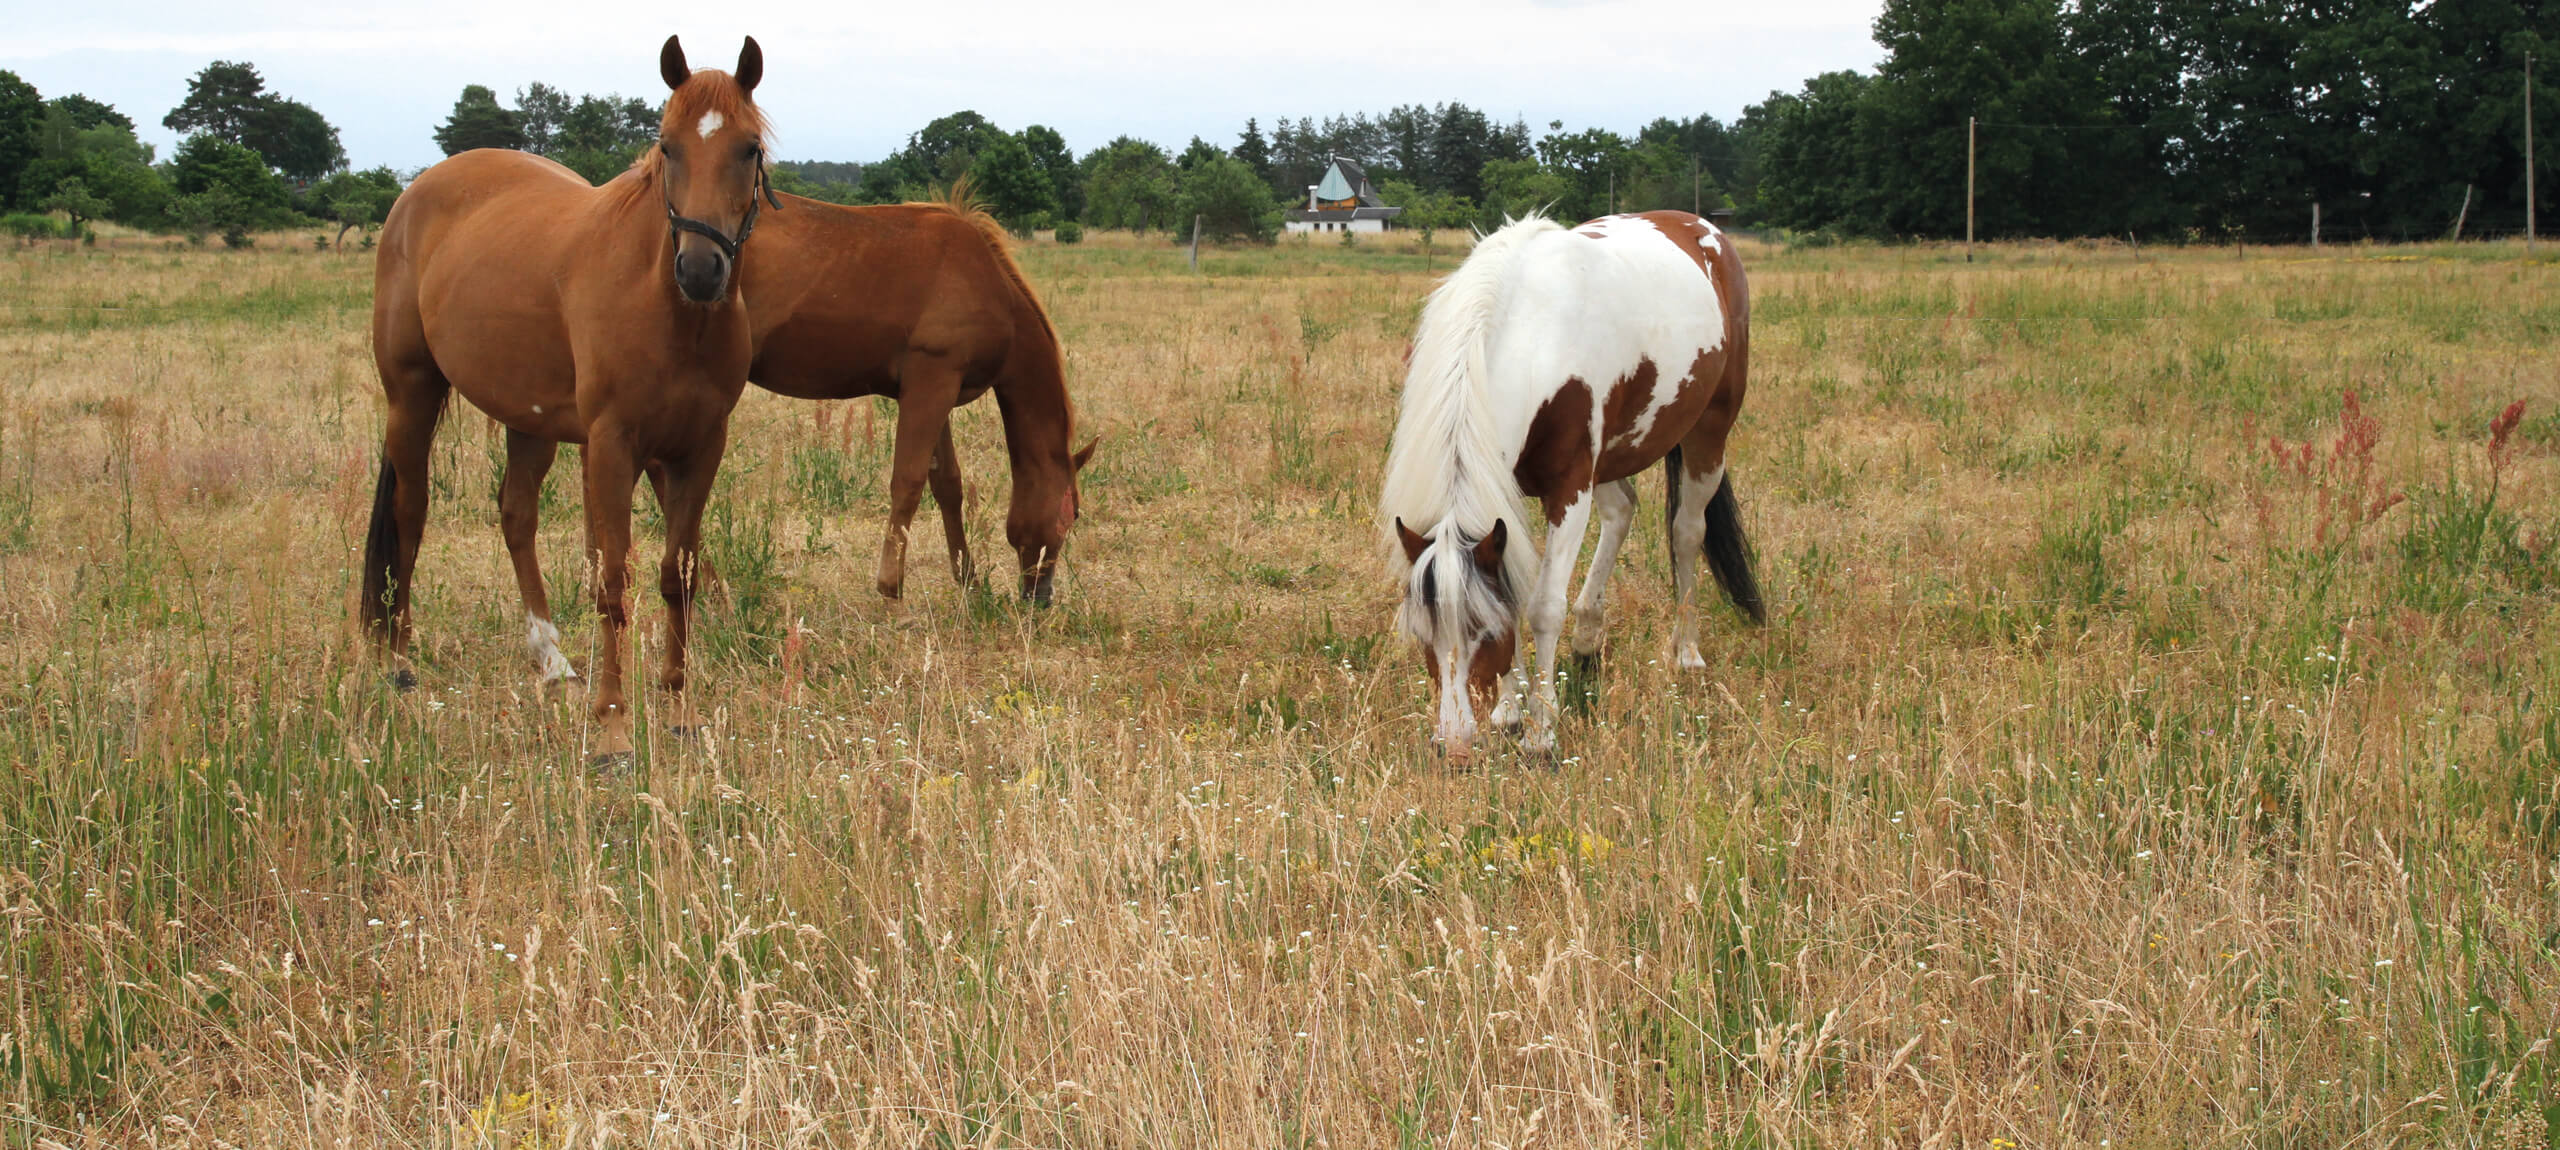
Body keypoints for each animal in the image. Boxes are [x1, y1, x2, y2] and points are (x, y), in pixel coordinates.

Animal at [366, 33, 773, 763]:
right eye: (666, 145)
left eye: (748, 148)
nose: (701, 270)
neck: (671, 311)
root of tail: (419, 193)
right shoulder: (612, 444)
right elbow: (612, 581)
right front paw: (612, 725)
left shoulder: (700, 447)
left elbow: (678, 575)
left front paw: (679, 707)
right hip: (411, 393)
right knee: (410, 516)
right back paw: (401, 662)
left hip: (529, 421)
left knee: (515, 516)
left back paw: (552, 660)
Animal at [1382, 210, 1761, 758]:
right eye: (1421, 634)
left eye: (1485, 633)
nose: (1453, 745)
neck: (1530, 333)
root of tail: (1696, 225)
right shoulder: (1511, 492)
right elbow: (1514, 587)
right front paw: (1509, 709)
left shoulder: (1569, 488)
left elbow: (1542, 607)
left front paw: (1541, 730)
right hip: (1609, 460)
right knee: (1622, 511)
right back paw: (1587, 637)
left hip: (1709, 431)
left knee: (1688, 531)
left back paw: (1686, 652)